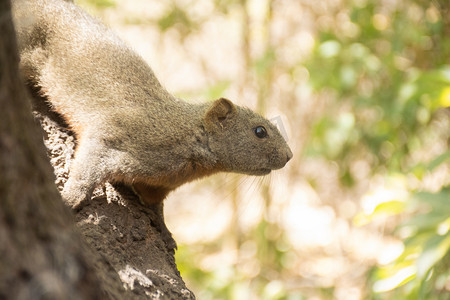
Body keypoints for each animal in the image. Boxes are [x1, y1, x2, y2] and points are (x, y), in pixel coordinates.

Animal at [12, 0, 294, 248]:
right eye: (260, 131)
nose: (289, 156)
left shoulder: (157, 186)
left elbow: (155, 205)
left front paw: (165, 230)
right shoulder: (116, 137)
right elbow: (87, 170)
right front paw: (70, 198)